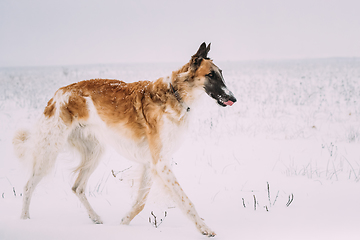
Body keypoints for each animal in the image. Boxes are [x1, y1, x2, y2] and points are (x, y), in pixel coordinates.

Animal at [11, 42, 236, 237]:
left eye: (221, 73)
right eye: (210, 75)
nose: (233, 98)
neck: (175, 94)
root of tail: (57, 94)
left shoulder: (151, 163)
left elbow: (140, 203)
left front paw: (122, 224)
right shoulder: (160, 163)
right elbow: (186, 202)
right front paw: (204, 228)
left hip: (95, 151)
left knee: (77, 187)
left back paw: (95, 218)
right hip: (50, 151)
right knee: (28, 186)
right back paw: (24, 220)